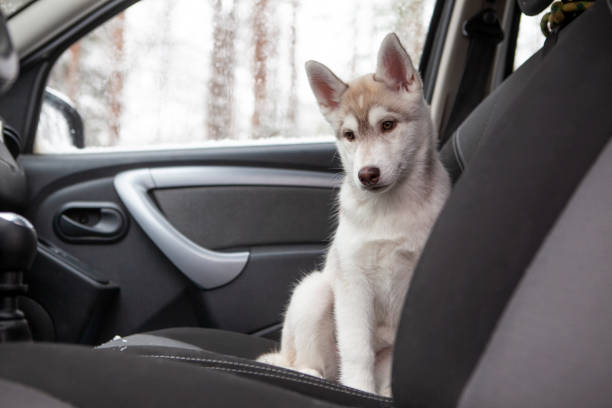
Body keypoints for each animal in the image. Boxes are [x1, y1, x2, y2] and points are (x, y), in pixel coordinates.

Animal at [256, 33, 452, 396]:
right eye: (349, 135)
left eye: (387, 125)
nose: (367, 175)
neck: (390, 207)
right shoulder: (353, 281)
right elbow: (358, 349)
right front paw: (360, 390)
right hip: (315, 292)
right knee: (308, 363)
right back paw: (313, 375)